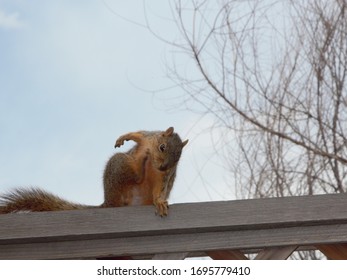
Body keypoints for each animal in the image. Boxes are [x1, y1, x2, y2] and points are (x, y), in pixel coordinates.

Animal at [0, 127, 189, 217]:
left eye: (177, 159)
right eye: (162, 147)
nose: (163, 167)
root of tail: (108, 201)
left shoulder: (164, 178)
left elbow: (160, 190)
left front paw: (160, 202)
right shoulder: (147, 137)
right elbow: (137, 134)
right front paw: (124, 137)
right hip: (119, 165)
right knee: (132, 174)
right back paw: (139, 166)